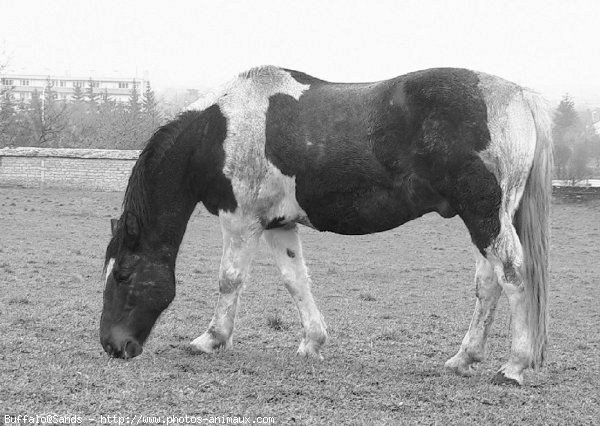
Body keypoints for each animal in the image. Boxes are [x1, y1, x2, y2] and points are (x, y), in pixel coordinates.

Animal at [101, 65, 552, 386]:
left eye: (123, 274)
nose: (112, 345)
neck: (221, 129)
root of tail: (519, 95)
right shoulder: (277, 224)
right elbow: (295, 280)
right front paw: (311, 343)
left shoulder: (241, 222)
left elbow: (230, 280)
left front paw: (210, 340)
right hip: (483, 220)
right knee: (488, 285)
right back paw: (463, 359)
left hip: (484, 216)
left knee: (512, 275)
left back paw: (513, 367)